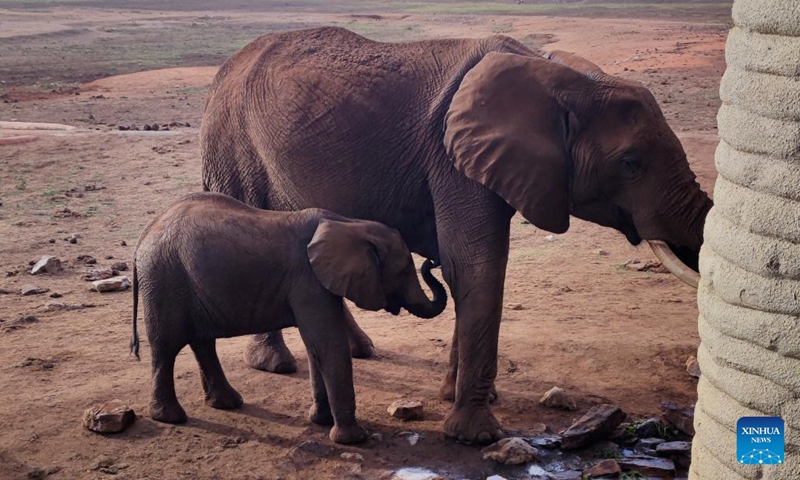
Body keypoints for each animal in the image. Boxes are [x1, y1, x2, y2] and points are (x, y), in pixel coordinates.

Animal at [130, 192, 447, 444]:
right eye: (404, 271)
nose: (434, 260)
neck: (349, 223)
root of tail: (145, 233)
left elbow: (316, 347)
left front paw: (321, 422)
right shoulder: (308, 280)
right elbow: (328, 346)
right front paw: (354, 439)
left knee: (202, 342)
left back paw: (228, 403)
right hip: (164, 279)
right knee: (166, 347)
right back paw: (170, 418)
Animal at [200, 27, 712, 443]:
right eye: (630, 164)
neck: (557, 76)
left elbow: (471, 269)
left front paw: (453, 396)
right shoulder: (452, 161)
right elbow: (476, 267)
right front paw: (476, 435)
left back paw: (359, 350)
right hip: (232, 145)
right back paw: (274, 364)